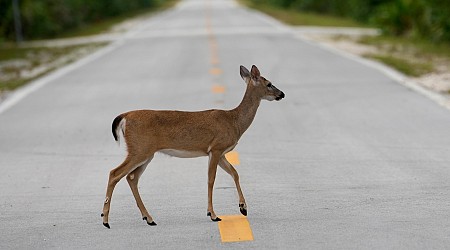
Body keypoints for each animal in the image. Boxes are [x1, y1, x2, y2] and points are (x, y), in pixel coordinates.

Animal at [102, 65, 284, 229]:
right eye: (269, 83)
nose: (282, 94)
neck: (234, 121)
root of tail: (124, 116)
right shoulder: (216, 148)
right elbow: (211, 180)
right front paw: (213, 214)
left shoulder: (220, 153)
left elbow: (235, 173)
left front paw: (243, 208)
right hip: (139, 149)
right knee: (115, 173)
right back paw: (105, 220)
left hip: (146, 153)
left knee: (132, 177)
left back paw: (149, 218)